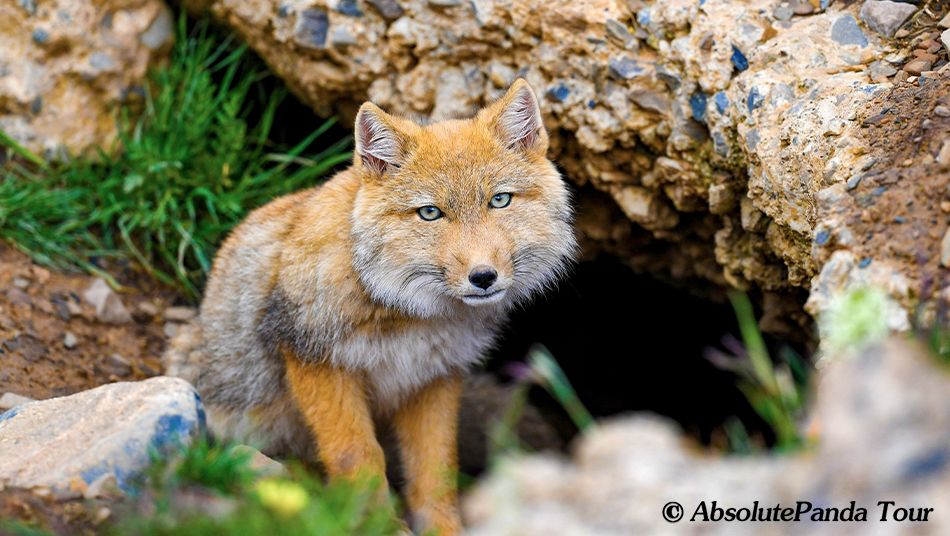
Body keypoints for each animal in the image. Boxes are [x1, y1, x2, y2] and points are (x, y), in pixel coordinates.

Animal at [163, 79, 576, 534]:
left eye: (500, 200)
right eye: (429, 213)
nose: (483, 276)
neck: (410, 316)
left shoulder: (433, 377)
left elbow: (434, 469)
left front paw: (442, 527)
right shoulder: (316, 362)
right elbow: (357, 455)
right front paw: (375, 523)